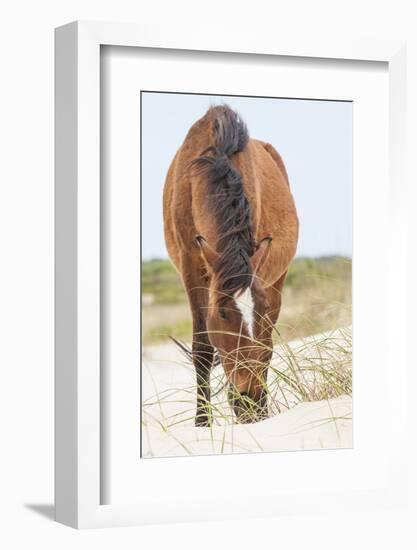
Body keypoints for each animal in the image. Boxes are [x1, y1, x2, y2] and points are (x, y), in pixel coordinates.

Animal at [163, 105, 300, 430]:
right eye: (223, 314)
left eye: (259, 309)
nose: (248, 398)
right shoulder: (191, 267)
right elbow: (202, 348)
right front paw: (202, 423)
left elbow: (263, 346)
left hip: (277, 279)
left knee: (268, 344)